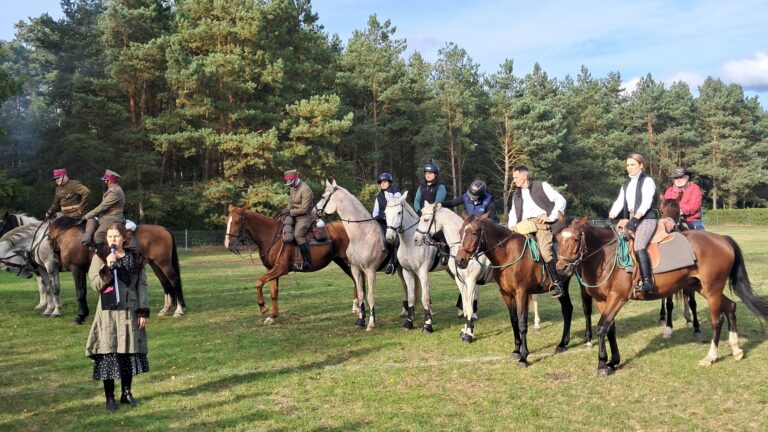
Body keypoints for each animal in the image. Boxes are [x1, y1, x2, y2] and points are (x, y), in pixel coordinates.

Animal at [48, 216, 186, 324]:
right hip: (155, 264)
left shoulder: (76, 269)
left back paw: (179, 310)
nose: (54, 257)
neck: (68, 235)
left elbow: (80, 292)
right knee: (165, 283)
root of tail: (163, 229)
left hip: (163, 263)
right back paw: (165, 310)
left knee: (174, 280)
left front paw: (80, 316)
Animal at [220, 205, 356, 324]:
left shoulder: (281, 269)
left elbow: (259, 282)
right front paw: (272, 317)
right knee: (355, 280)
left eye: (237, 222)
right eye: (228, 221)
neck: (272, 236)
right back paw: (356, 306)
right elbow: (274, 293)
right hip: (341, 261)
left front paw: (263, 308)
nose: (228, 244)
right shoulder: (271, 269)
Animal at [412, 202, 496, 340]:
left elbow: (469, 306)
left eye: (426, 219)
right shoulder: (460, 280)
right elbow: (466, 306)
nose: (415, 239)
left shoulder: (471, 280)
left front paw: (469, 334)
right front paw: (465, 330)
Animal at [452, 214, 580, 366]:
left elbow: (522, 323)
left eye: (474, 233)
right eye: (460, 232)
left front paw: (524, 357)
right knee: (567, 309)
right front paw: (516, 351)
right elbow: (514, 321)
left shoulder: (521, 293)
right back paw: (562, 344)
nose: (459, 260)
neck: (508, 254)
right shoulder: (506, 294)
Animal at [556, 218, 768, 376]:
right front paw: (613, 361)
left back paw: (711, 357)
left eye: (576, 239)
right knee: (731, 306)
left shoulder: (618, 297)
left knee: (717, 320)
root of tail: (721, 239)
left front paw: (602, 365)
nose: (561, 268)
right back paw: (737, 349)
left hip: (712, 289)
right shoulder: (602, 301)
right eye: (558, 239)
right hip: (702, 288)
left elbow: (601, 327)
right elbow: (610, 329)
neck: (607, 255)